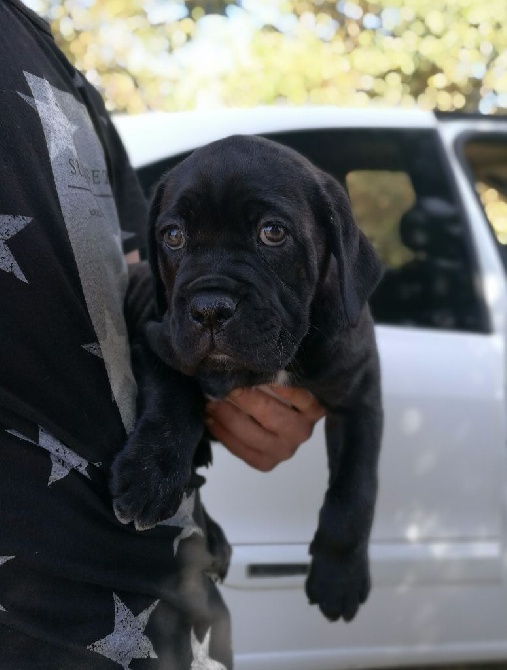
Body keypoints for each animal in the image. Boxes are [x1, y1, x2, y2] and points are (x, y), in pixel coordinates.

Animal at [110, 136, 380, 624]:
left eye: (272, 232)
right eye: (173, 236)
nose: (209, 309)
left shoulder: (360, 395)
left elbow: (354, 489)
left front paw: (340, 577)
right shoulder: (156, 341)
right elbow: (172, 403)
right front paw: (149, 477)